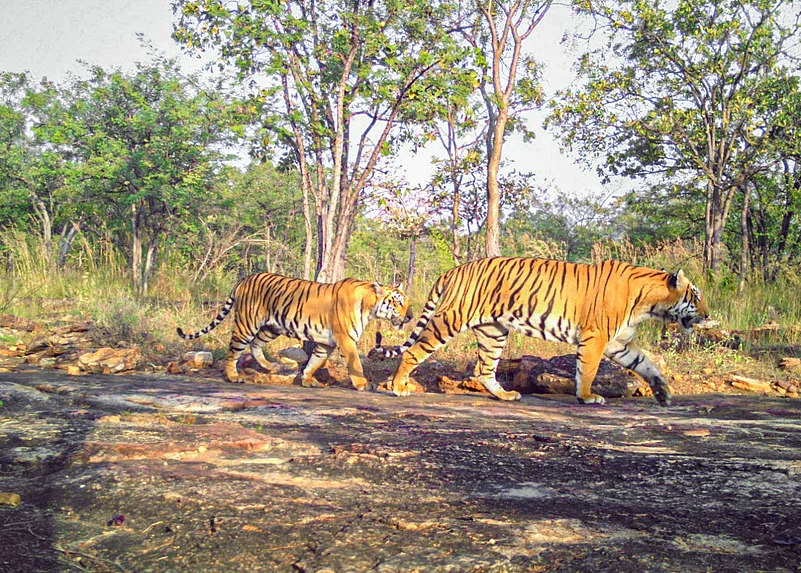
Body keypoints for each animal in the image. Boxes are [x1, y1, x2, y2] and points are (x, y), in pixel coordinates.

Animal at [177, 272, 412, 390]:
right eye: (398, 302)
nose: (410, 317)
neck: (369, 306)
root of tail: (244, 279)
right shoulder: (345, 339)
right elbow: (355, 363)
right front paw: (363, 384)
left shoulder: (325, 342)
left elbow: (315, 361)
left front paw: (307, 380)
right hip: (247, 324)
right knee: (233, 351)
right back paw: (233, 376)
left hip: (271, 327)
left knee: (255, 345)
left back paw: (269, 367)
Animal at [373, 257, 708, 406]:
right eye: (695, 296)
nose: (707, 315)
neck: (650, 304)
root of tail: (456, 269)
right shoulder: (596, 337)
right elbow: (587, 369)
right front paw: (587, 397)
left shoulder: (619, 343)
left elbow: (647, 364)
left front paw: (663, 393)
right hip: (450, 320)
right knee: (414, 351)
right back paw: (399, 386)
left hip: (493, 332)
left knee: (484, 370)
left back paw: (506, 395)